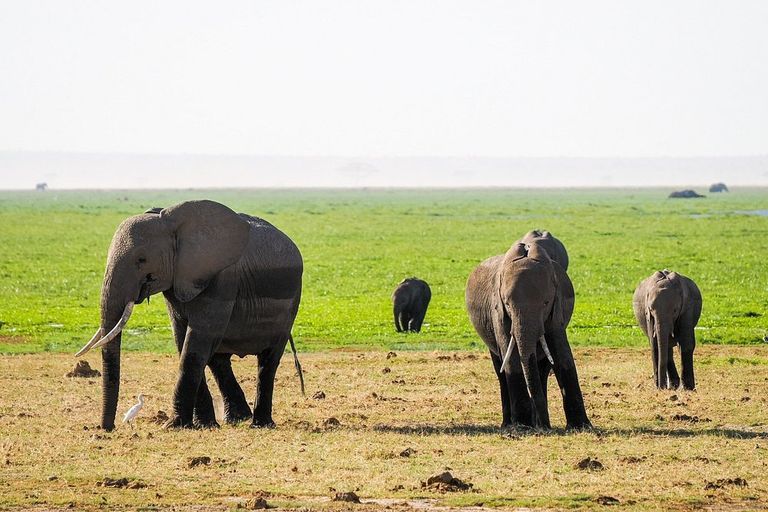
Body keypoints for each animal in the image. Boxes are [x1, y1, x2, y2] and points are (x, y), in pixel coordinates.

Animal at [76, 200, 304, 431]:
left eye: (141, 259)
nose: (108, 428)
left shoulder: (223, 279)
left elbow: (195, 343)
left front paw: (174, 426)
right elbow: (183, 340)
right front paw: (202, 426)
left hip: (291, 304)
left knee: (267, 361)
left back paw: (259, 424)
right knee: (218, 360)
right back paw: (236, 419)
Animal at [465, 234, 590, 430]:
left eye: (546, 303)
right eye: (508, 304)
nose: (543, 427)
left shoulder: (557, 309)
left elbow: (562, 355)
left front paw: (581, 427)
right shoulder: (498, 312)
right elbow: (512, 358)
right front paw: (523, 427)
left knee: (543, 369)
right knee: (501, 370)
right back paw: (509, 424)